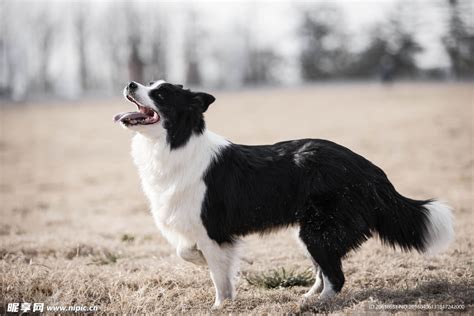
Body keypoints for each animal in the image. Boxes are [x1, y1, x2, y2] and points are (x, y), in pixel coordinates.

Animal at [114, 80, 456, 310]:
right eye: (149, 83)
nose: (130, 83)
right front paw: (200, 263)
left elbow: (219, 277)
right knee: (324, 271)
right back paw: (309, 295)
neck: (176, 143)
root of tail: (370, 170)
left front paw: (220, 306)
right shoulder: (196, 226)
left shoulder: (212, 229)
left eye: (160, 93)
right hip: (310, 231)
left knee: (336, 277)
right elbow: (184, 251)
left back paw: (313, 305)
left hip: (318, 231)